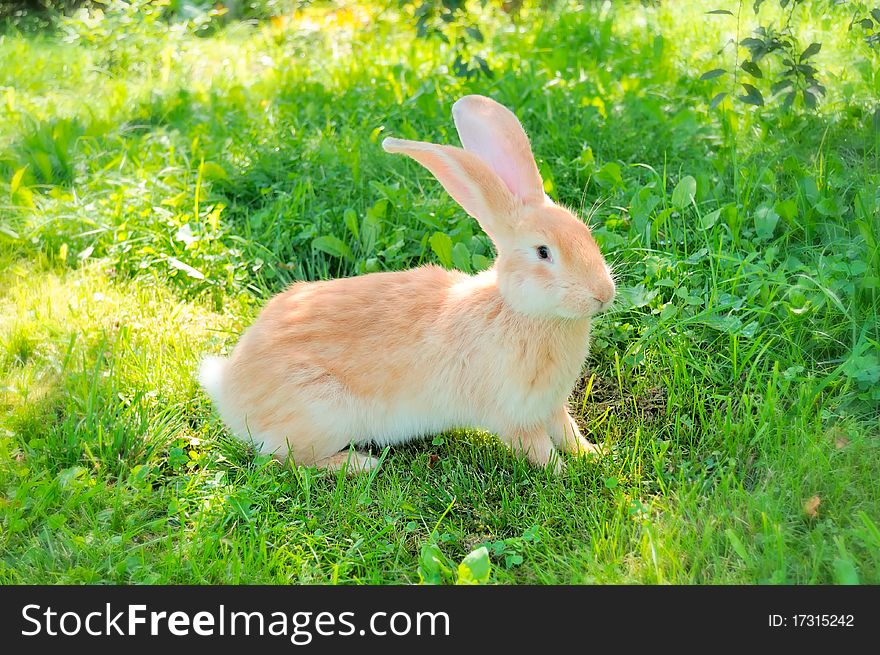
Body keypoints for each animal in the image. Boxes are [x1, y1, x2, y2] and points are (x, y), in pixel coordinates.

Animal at [199, 95, 616, 474]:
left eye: (585, 232)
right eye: (543, 252)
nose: (604, 295)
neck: (519, 311)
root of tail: (231, 389)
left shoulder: (551, 406)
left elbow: (568, 433)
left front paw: (594, 456)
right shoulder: (515, 415)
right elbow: (539, 449)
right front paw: (564, 475)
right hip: (322, 416)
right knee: (284, 458)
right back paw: (359, 464)